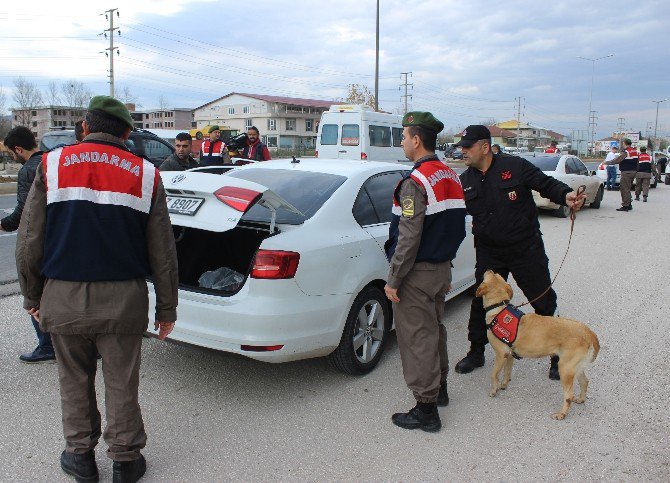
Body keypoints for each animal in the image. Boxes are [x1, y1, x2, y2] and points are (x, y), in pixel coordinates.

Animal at [476, 270, 600, 422]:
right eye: (497, 275)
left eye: (490, 276)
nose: (490, 269)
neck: (499, 307)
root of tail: (588, 332)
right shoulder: (509, 355)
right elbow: (507, 372)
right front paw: (504, 384)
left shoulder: (500, 355)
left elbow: (494, 375)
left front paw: (494, 390)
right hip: (575, 367)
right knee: (585, 382)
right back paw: (581, 399)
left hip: (565, 368)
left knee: (568, 396)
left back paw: (562, 414)